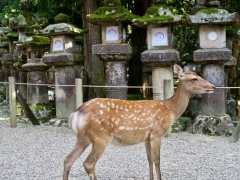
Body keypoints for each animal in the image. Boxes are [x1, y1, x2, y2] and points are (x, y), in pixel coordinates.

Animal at [62, 64, 215, 180]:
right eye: (195, 78)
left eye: (199, 76)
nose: (212, 86)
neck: (170, 110)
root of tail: (77, 113)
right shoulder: (157, 133)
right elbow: (157, 160)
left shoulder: (146, 137)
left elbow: (150, 159)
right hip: (101, 136)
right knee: (88, 163)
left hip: (84, 138)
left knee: (67, 160)